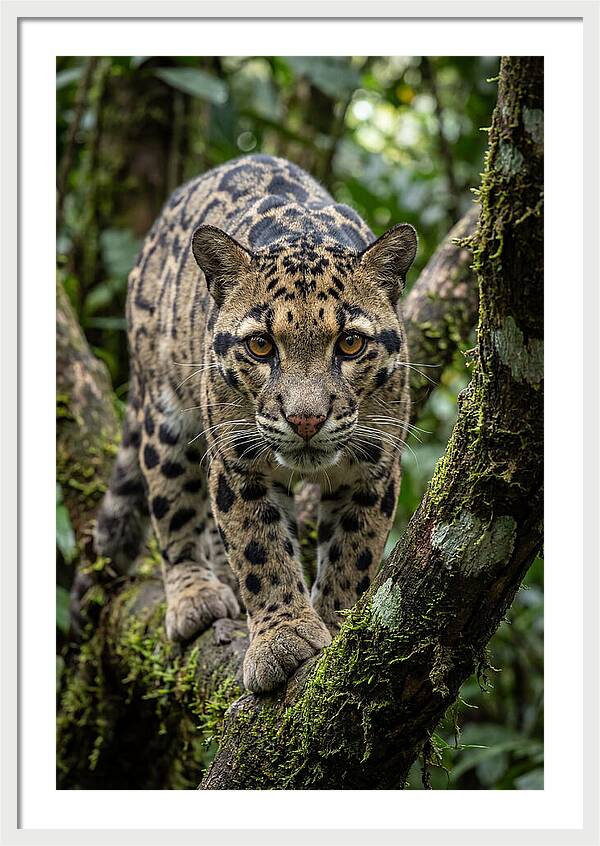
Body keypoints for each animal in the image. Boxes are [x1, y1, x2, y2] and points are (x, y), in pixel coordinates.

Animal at [94, 154, 417, 694]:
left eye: (350, 343)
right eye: (261, 345)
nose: (306, 419)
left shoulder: (374, 465)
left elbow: (354, 551)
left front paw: (336, 625)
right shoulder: (238, 460)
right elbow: (259, 548)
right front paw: (283, 640)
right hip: (165, 415)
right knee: (173, 508)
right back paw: (196, 595)